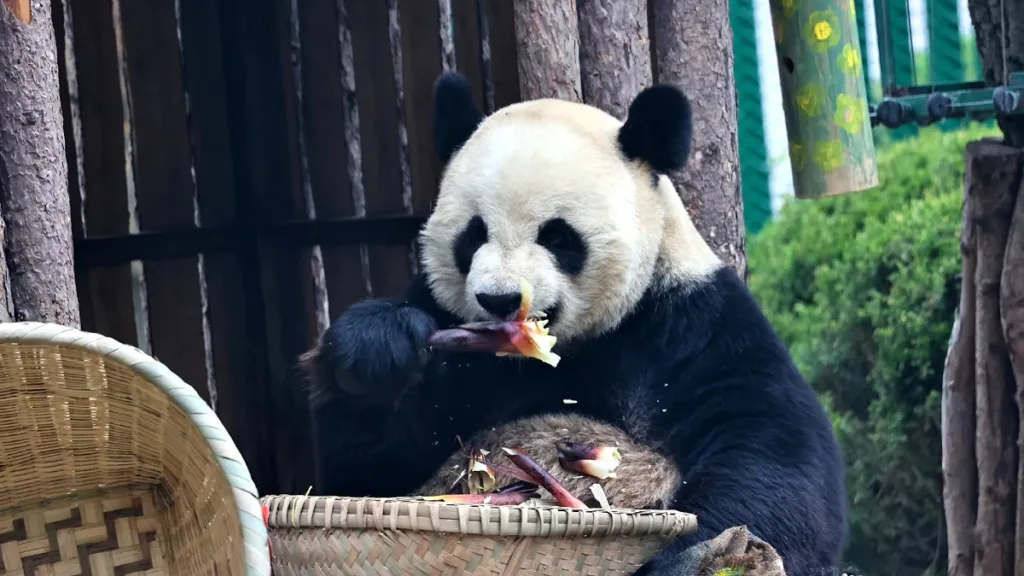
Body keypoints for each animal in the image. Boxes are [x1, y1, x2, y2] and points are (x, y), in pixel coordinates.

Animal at [301, 72, 847, 576]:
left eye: (558, 236)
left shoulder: (692, 324)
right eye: (473, 234)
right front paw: (375, 353)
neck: (564, 350)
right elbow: (365, 474)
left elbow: (770, 455)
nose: (499, 299)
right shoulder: (445, 321)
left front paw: (688, 557)